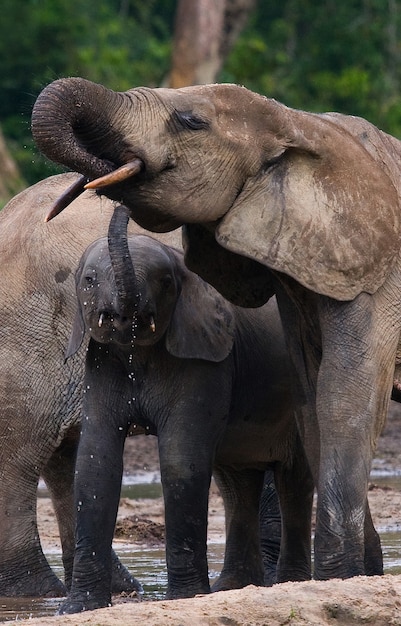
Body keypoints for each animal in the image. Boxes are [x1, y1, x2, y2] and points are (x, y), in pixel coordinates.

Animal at [61, 204, 314, 608]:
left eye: (166, 281)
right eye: (88, 279)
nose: (119, 207)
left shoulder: (204, 358)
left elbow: (180, 459)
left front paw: (183, 598)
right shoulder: (100, 361)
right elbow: (95, 463)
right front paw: (77, 608)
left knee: (294, 480)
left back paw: (291, 582)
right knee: (237, 485)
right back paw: (233, 587)